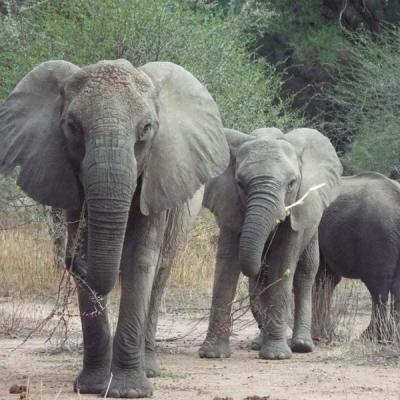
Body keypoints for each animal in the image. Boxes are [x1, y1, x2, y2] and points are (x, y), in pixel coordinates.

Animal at [0, 59, 229, 398]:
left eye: (147, 128)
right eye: (72, 127)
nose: (70, 256)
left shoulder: (157, 181)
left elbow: (140, 260)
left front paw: (130, 391)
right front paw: (92, 386)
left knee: (160, 275)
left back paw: (150, 368)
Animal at [198, 127, 342, 360]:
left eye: (292, 183)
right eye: (240, 184)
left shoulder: (297, 212)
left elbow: (282, 264)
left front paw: (276, 356)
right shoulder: (229, 205)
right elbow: (226, 266)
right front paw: (212, 354)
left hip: (312, 225)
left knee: (305, 272)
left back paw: (302, 345)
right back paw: (258, 343)